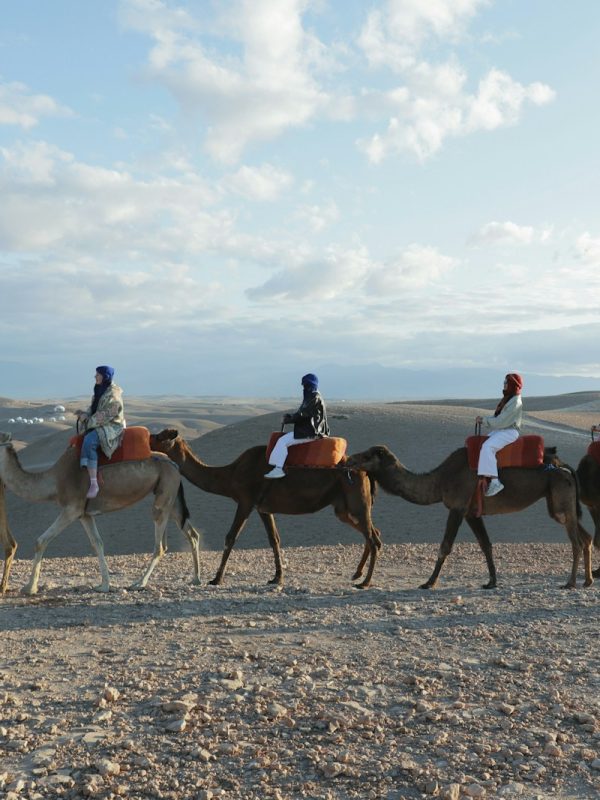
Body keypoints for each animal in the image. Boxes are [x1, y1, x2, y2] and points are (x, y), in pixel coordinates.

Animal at [0, 431, 202, 595]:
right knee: (191, 533)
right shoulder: (84, 514)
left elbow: (41, 541)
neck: (55, 481)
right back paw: (196, 579)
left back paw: (139, 583)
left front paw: (29, 588)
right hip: (171, 497)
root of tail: (175, 465)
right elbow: (97, 543)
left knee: (160, 544)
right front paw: (104, 585)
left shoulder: (71, 508)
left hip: (165, 493)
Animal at [149, 429, 381, 588]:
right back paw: (357, 574)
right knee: (373, 533)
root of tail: (365, 471)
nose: (149, 436)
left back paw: (365, 582)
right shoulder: (263, 508)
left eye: (162, 435)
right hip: (344, 508)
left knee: (372, 538)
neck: (230, 475)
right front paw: (277, 577)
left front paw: (216, 578)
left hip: (356, 502)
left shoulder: (245, 501)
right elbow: (274, 539)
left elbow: (231, 537)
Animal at [344, 445, 593, 590]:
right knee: (586, 537)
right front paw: (491, 582)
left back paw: (570, 582)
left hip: (560, 495)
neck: (439, 480)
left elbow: (445, 546)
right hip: (557, 501)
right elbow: (485, 544)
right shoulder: (472, 513)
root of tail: (564, 466)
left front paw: (429, 582)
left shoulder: (457, 506)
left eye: (366, 455)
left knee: (576, 541)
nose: (348, 460)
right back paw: (587, 580)